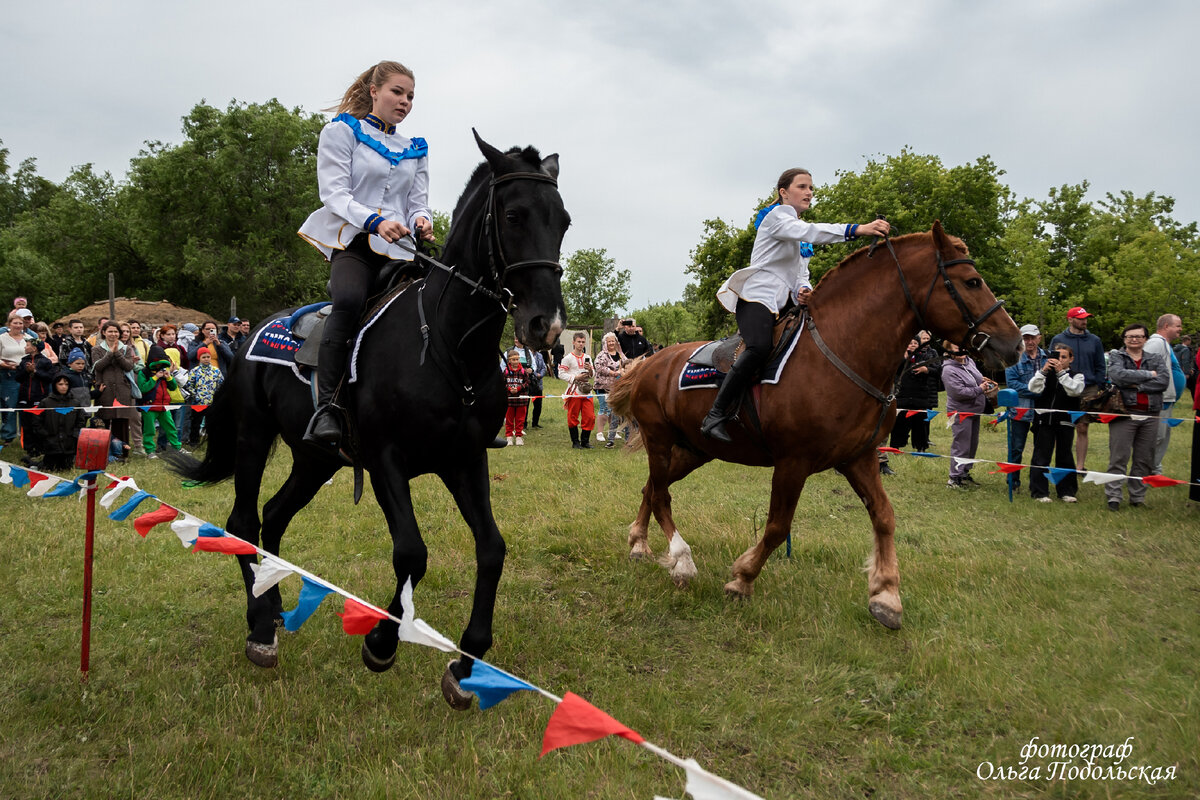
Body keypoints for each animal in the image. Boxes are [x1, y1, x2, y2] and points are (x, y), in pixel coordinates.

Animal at [171, 131, 573, 705]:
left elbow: (492, 549)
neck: (448, 345)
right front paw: (382, 641)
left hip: (315, 459)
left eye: (563, 221)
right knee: (244, 522)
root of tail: (245, 340)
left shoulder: (464, 459)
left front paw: (466, 662)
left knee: (274, 515)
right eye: (514, 215)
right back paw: (260, 627)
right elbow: (411, 553)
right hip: (254, 437)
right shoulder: (387, 460)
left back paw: (273, 604)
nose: (547, 325)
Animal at [609, 221, 1022, 628]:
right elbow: (778, 527)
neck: (844, 351)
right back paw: (681, 560)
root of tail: (651, 362)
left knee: (652, 487)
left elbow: (884, 516)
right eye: (972, 281)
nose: (1014, 344)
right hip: (660, 441)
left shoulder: (860, 457)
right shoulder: (793, 462)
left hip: (693, 450)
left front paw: (886, 595)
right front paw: (742, 577)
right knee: (661, 495)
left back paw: (639, 543)